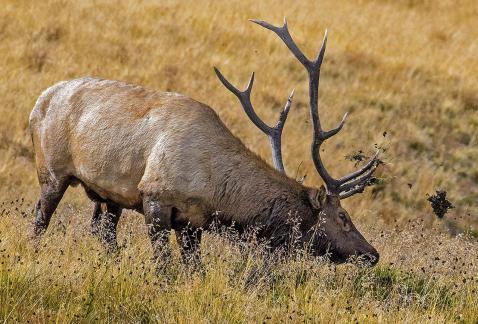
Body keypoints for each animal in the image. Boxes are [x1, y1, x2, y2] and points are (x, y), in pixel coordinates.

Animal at [29, 17, 380, 268]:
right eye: (343, 217)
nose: (372, 254)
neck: (215, 191)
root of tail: (38, 102)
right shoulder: (155, 196)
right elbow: (164, 267)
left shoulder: (192, 224)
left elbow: (195, 269)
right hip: (51, 171)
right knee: (39, 220)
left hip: (107, 194)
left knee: (102, 231)